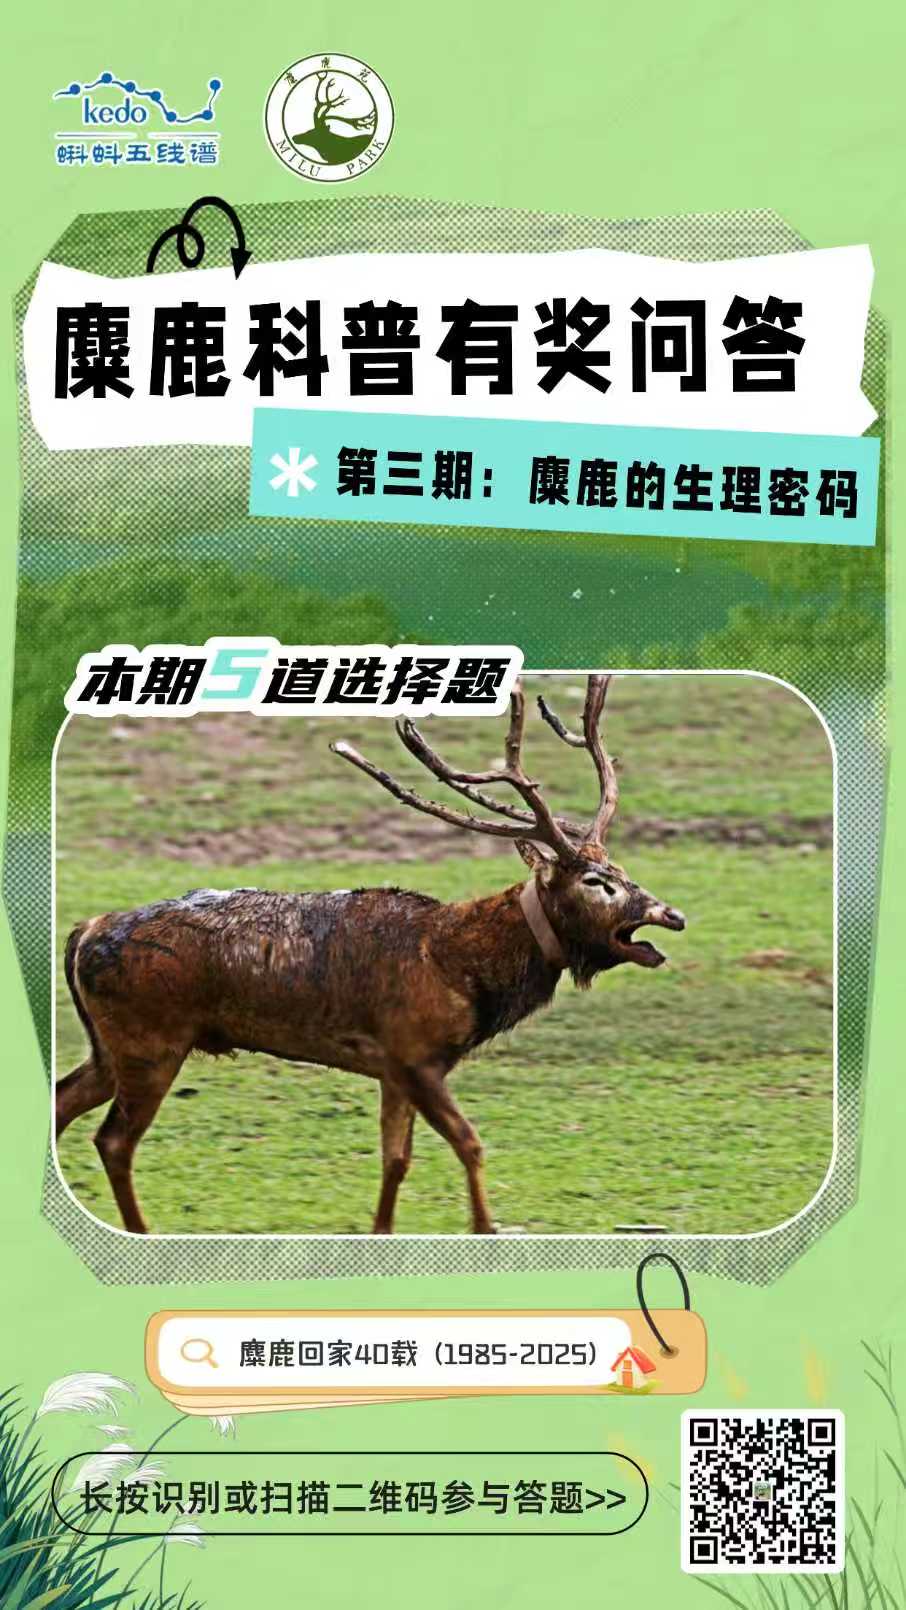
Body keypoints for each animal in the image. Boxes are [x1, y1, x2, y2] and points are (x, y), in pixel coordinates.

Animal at [56, 677, 685, 1236]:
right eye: (596, 881)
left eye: (623, 869)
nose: (671, 914)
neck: (465, 970)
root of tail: (84, 932)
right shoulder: (415, 1053)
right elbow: (470, 1143)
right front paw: (487, 1227)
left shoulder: (394, 1067)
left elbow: (396, 1160)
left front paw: (381, 1230)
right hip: (151, 1042)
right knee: (113, 1140)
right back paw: (140, 1230)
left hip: (113, 1048)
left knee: (64, 1102)